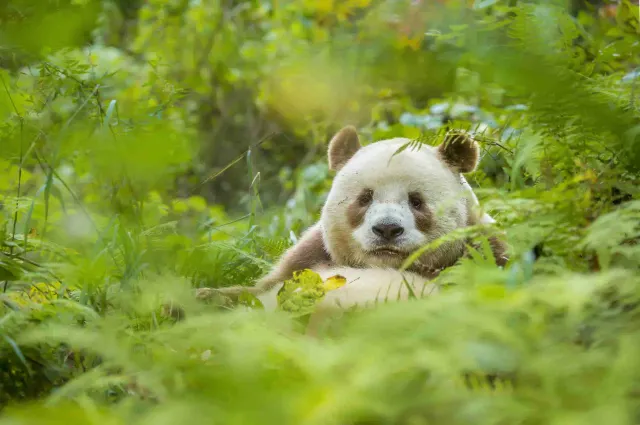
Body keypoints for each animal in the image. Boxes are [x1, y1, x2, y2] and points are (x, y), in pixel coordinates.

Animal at [201, 126, 510, 312]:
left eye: (416, 201)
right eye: (365, 198)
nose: (387, 229)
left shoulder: (485, 253)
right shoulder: (309, 255)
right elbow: (255, 288)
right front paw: (204, 294)